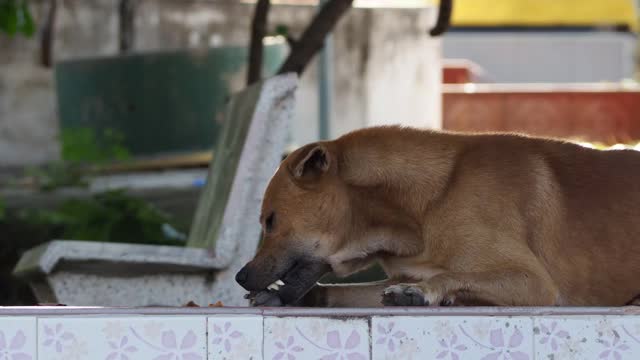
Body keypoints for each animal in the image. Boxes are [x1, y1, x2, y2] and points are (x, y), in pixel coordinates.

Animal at [235, 126, 640, 306]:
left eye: (270, 220)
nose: (239, 277)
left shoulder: (536, 283)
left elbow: (449, 275)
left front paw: (422, 291)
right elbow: (339, 291)